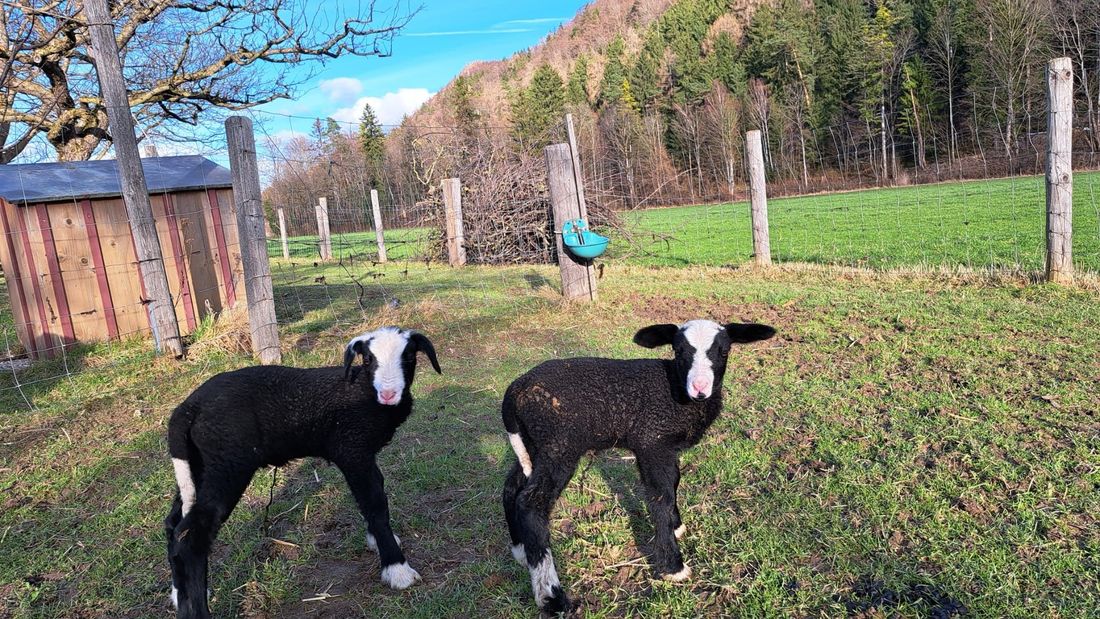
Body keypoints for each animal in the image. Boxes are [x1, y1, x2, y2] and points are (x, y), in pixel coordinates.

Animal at [164, 326, 441, 619]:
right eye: (368, 359)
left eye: (409, 356)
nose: (388, 394)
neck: (364, 389)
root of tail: (187, 410)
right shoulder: (351, 449)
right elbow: (375, 503)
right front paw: (396, 568)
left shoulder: (361, 454)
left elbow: (371, 497)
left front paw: (377, 541)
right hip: (226, 464)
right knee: (191, 537)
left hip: (197, 465)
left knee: (173, 525)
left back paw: (180, 593)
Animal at [501, 319, 776, 613]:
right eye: (678, 350)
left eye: (724, 351)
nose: (700, 388)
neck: (675, 389)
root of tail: (515, 389)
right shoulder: (652, 442)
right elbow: (661, 497)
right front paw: (673, 566)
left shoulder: (664, 447)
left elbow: (673, 482)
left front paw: (676, 526)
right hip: (559, 445)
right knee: (531, 503)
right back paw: (552, 596)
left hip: (534, 444)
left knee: (512, 488)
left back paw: (521, 551)